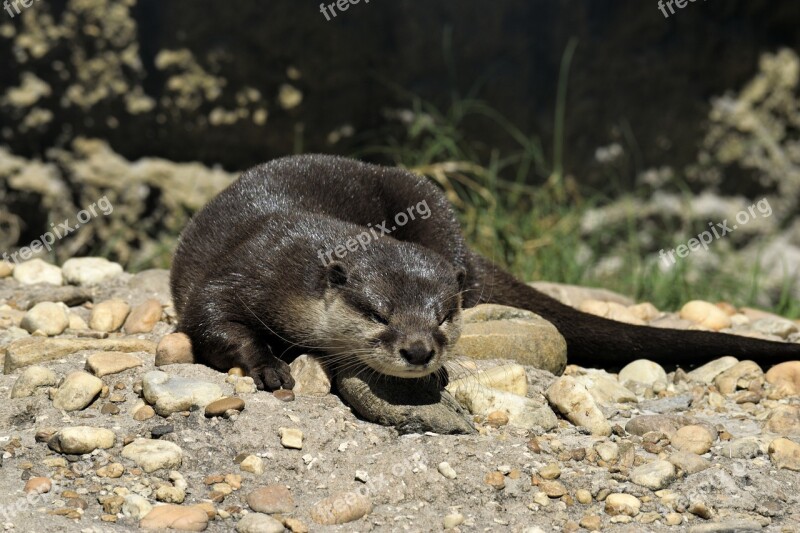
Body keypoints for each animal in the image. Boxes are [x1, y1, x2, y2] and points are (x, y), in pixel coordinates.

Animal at [172, 154, 800, 390]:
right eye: (378, 313)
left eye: (443, 317)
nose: (419, 351)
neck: (296, 263)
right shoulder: (244, 269)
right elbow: (211, 322)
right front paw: (268, 365)